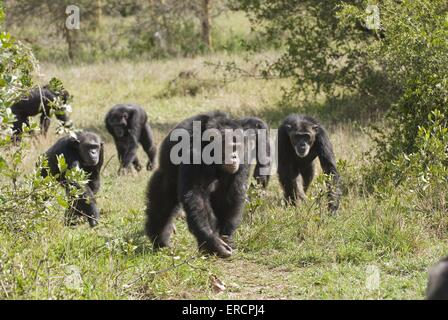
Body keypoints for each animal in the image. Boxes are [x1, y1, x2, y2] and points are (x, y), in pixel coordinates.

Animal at [146, 111, 252, 258]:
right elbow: (197, 195)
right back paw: (161, 242)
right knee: (162, 207)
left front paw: (226, 237)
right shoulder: (194, 154)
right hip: (165, 178)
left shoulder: (245, 157)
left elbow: (232, 194)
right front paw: (213, 242)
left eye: (238, 147)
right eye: (229, 147)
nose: (234, 156)